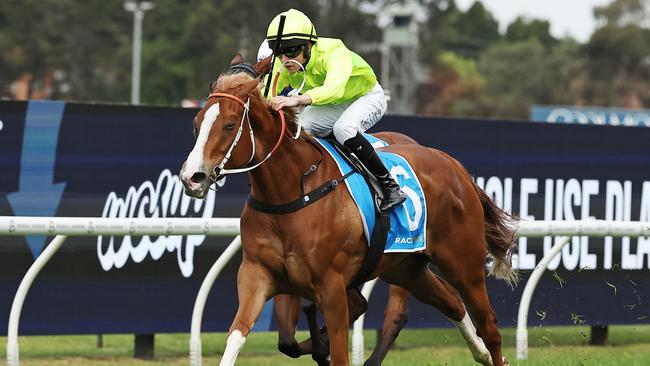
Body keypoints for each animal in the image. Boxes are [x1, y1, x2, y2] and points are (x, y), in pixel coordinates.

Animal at [180, 55, 512, 366]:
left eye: (229, 125)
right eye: (196, 123)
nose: (192, 177)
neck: (291, 192)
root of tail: (454, 165)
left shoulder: (331, 285)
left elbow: (338, 346)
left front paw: (324, 347)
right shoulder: (258, 273)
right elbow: (241, 335)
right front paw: (316, 346)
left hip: (464, 265)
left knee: (489, 326)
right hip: (406, 268)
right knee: (451, 303)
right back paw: (480, 353)